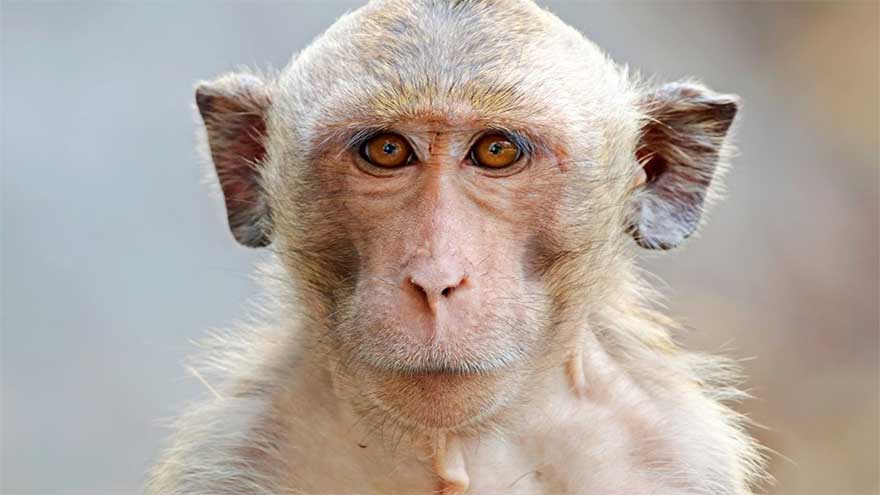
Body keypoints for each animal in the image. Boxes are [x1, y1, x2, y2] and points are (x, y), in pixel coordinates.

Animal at [147, 0, 766, 493]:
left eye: (495, 150)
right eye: (388, 150)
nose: (435, 279)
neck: (453, 448)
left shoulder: (676, 457)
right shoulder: (229, 456)